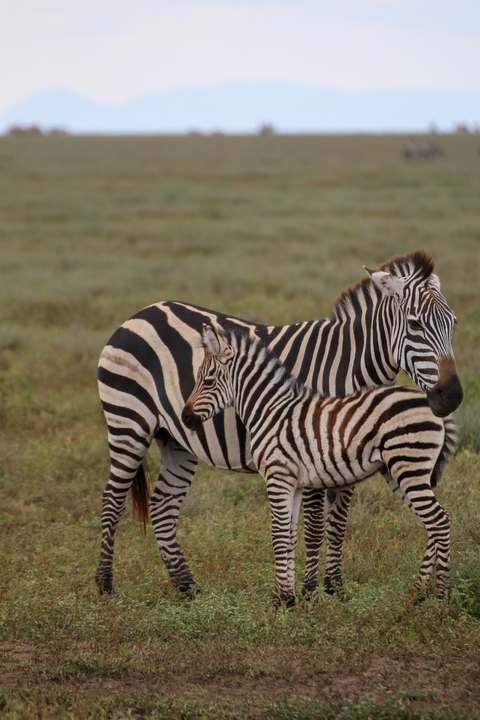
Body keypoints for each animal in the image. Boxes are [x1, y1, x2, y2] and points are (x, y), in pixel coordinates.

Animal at [182, 324, 457, 607]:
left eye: (208, 381)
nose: (185, 417)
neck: (271, 410)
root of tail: (435, 409)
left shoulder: (277, 475)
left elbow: (278, 535)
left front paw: (281, 602)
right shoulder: (292, 482)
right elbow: (290, 535)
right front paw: (287, 597)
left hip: (409, 467)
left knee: (438, 521)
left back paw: (440, 596)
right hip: (401, 471)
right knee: (435, 523)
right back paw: (417, 594)